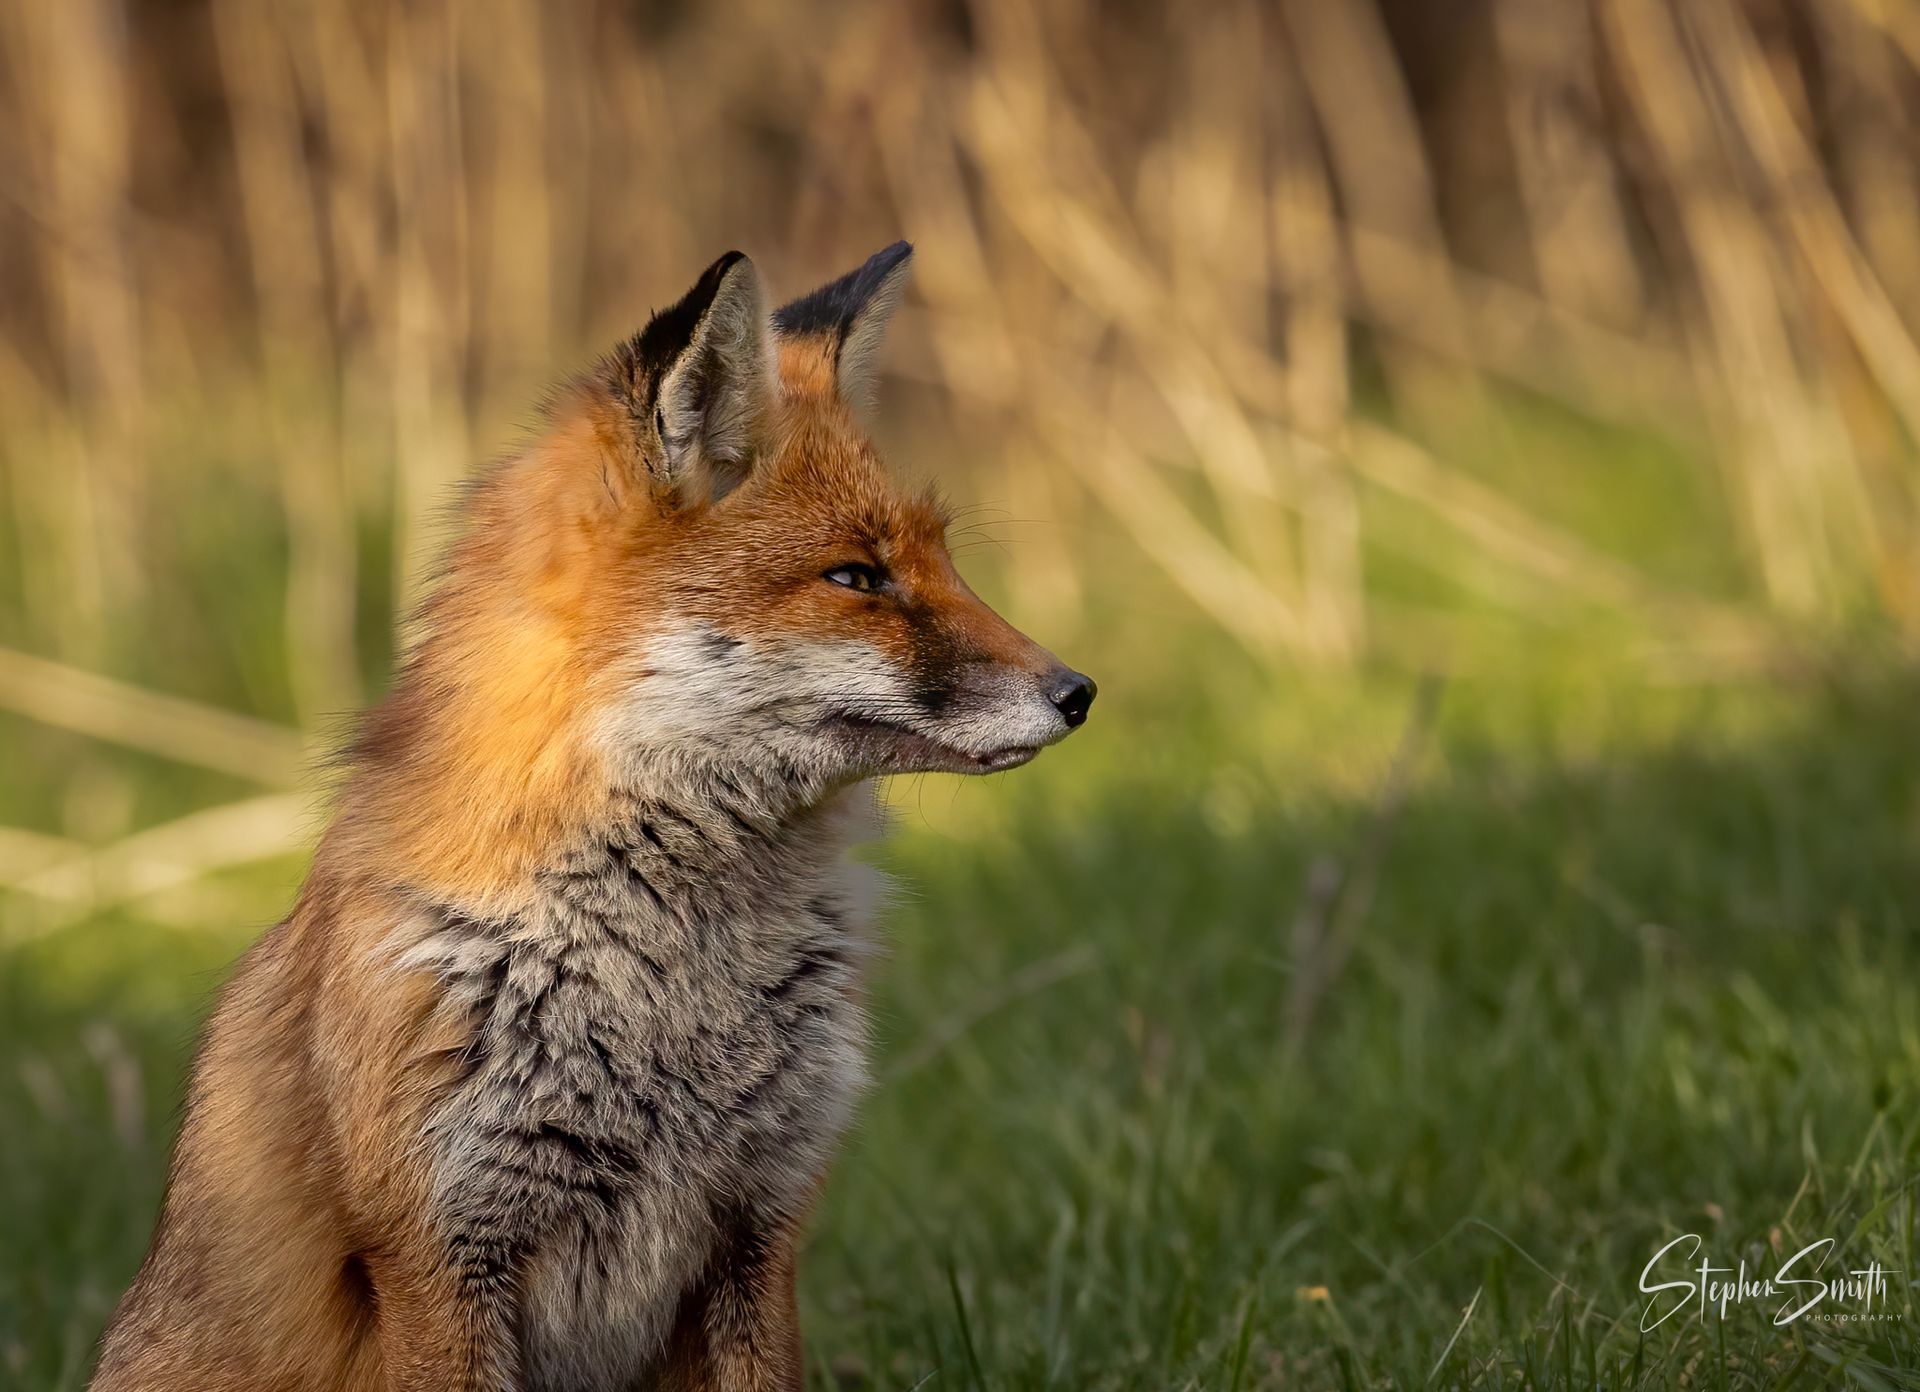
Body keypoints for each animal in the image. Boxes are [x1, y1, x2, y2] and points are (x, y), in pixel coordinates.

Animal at [88, 242, 1094, 1392]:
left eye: (943, 561)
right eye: (856, 576)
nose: (1078, 692)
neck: (676, 987)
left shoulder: (760, 1229)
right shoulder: (439, 1257)